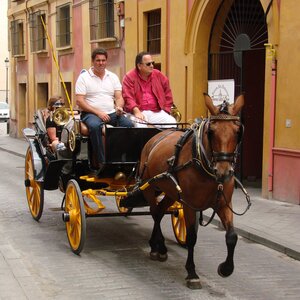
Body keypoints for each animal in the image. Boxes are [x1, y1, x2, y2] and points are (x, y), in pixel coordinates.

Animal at [137, 93, 245, 288]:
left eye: (237, 131)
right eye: (211, 132)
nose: (224, 172)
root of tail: (157, 136)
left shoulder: (223, 204)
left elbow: (232, 236)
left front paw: (226, 269)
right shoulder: (189, 205)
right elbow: (191, 237)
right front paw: (192, 273)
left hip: (171, 192)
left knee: (160, 210)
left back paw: (159, 248)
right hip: (148, 186)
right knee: (155, 213)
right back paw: (158, 247)